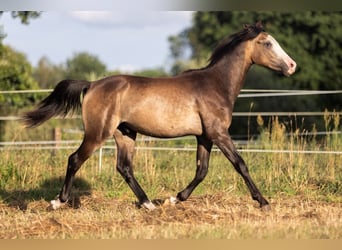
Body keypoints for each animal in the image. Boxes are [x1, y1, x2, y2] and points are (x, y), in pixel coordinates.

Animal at [23, 22, 296, 212]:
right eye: (267, 43)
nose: (292, 66)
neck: (216, 84)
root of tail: (91, 85)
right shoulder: (219, 133)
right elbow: (240, 164)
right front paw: (263, 202)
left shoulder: (205, 136)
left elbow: (202, 170)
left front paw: (173, 199)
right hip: (97, 133)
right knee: (75, 159)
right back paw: (58, 202)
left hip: (125, 133)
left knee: (124, 167)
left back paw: (148, 204)